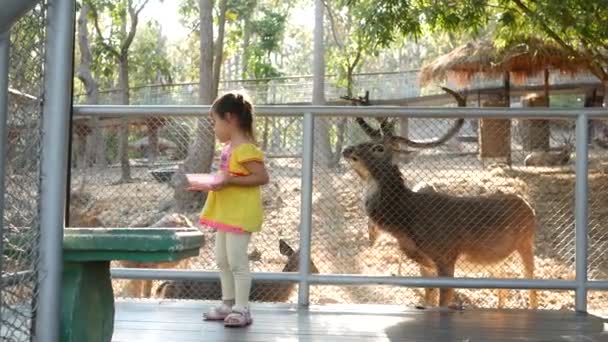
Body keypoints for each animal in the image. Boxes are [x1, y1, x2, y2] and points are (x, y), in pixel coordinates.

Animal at [342, 142, 536, 310]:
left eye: (378, 148)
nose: (346, 149)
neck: (404, 223)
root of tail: (529, 207)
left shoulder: (446, 255)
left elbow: (443, 302)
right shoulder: (426, 263)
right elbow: (429, 297)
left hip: (526, 241)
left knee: (531, 281)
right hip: (494, 257)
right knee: (504, 278)